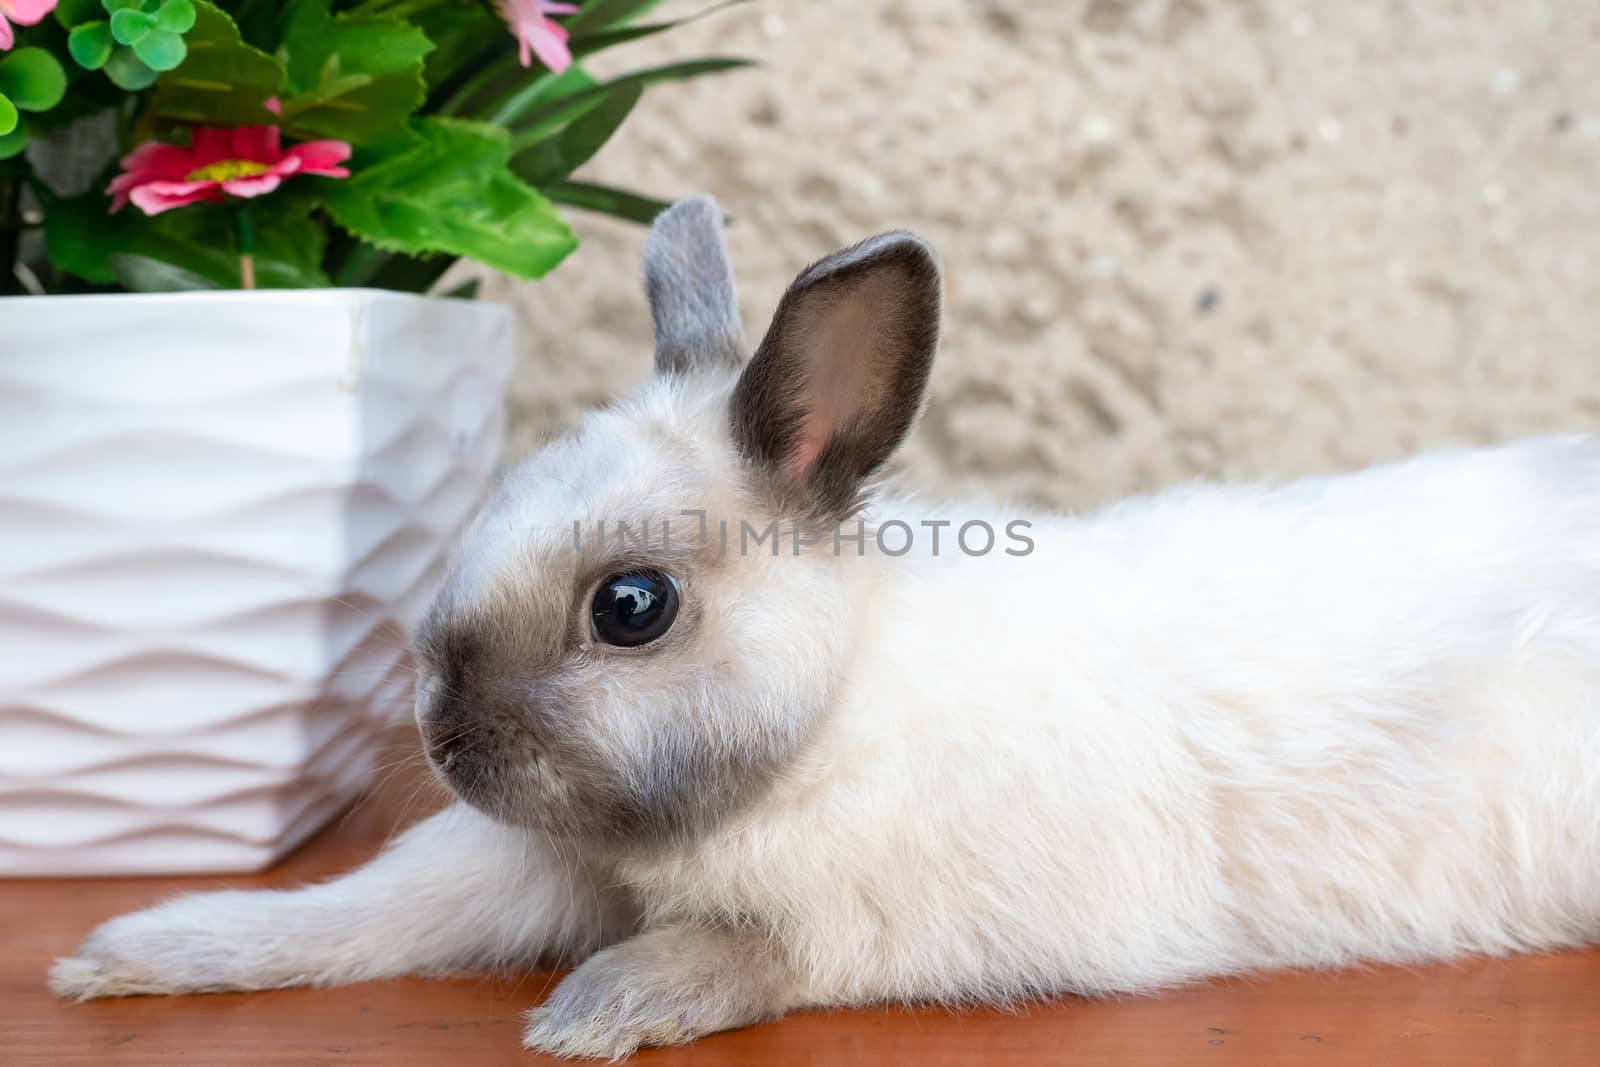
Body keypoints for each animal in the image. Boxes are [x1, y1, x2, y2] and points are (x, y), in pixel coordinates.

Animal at [46, 195, 1600, 1055]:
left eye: (632, 605)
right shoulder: (512, 871)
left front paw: (604, 1009)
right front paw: (133, 949)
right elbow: (355, 912)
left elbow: (771, 951)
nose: (444, 741)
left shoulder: (917, 915)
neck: (833, 713)